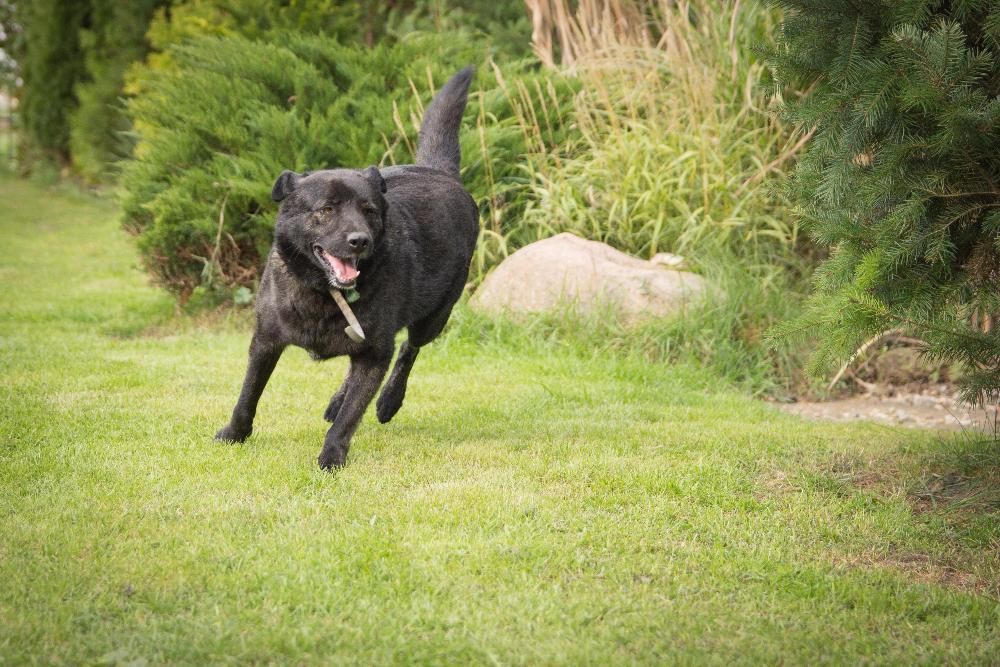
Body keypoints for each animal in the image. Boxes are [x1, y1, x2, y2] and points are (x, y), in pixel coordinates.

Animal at [214, 65, 476, 468]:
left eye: (368, 210)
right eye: (326, 209)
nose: (360, 240)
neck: (324, 292)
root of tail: (440, 171)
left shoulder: (375, 352)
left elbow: (353, 413)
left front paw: (331, 457)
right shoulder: (266, 341)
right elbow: (248, 394)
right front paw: (234, 433)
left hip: (434, 317)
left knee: (408, 350)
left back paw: (388, 401)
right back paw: (337, 401)